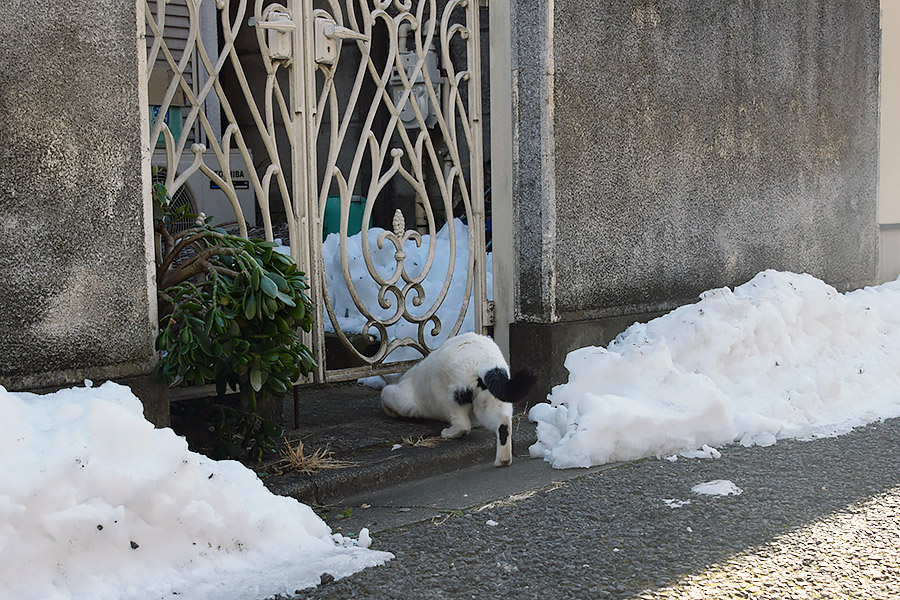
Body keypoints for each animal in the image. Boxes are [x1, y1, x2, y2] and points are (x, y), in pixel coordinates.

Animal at [380, 336, 536, 466]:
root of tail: (486, 362)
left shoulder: (405, 400)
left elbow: (386, 392)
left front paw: (389, 410)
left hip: (448, 397)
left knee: (463, 425)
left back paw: (449, 433)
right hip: (489, 403)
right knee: (503, 423)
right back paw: (503, 460)